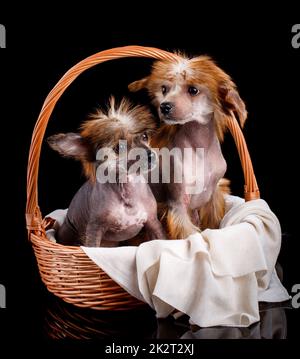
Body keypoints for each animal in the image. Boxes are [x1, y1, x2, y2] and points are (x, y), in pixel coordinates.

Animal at [47, 97, 165, 248]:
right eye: (119, 147)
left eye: (145, 136)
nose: (151, 155)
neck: (126, 188)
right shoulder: (94, 230)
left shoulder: (153, 222)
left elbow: (162, 240)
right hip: (69, 232)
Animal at [129, 52, 246, 239]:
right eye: (164, 89)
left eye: (193, 90)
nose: (164, 106)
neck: (200, 149)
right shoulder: (178, 206)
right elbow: (188, 234)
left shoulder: (213, 200)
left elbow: (212, 225)